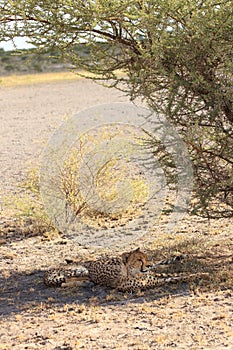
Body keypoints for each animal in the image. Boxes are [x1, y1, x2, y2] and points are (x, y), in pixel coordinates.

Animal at [43, 249, 208, 292]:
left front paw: (203, 272)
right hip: (81, 271)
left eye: (145, 258)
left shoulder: (154, 275)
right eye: (139, 260)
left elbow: (176, 274)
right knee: (68, 280)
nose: (148, 265)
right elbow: (176, 277)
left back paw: (179, 257)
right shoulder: (154, 281)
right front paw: (202, 274)